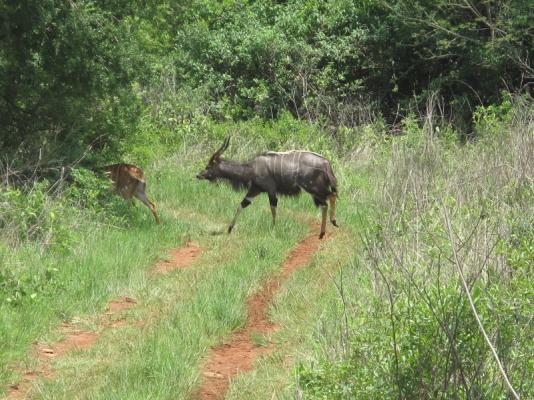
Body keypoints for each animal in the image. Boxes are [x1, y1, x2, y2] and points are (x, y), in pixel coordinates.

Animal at [196, 138, 340, 238]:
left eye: (208, 166)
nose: (198, 175)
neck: (251, 169)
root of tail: (326, 163)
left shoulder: (270, 190)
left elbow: (273, 208)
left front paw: (273, 229)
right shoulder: (255, 190)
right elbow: (242, 204)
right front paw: (229, 228)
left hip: (312, 187)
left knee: (331, 196)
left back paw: (334, 222)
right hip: (314, 191)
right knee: (325, 204)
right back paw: (322, 233)